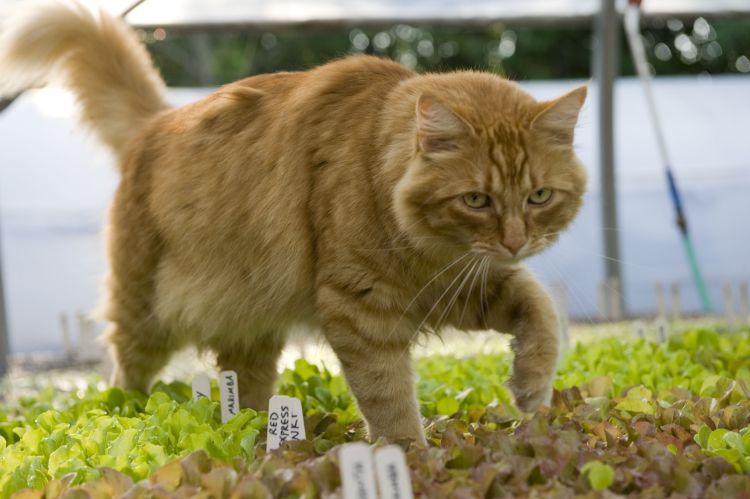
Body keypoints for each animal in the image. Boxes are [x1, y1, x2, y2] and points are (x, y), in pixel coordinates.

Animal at [0, 0, 588, 446]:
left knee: (244, 388)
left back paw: (256, 435)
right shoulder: (362, 307)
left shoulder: (455, 287)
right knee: (125, 371)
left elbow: (540, 309)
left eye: (538, 196)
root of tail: (160, 120)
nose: (515, 242)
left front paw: (531, 388)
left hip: (248, 319)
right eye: (476, 200)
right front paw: (409, 457)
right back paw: (131, 417)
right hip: (146, 309)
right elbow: (389, 397)